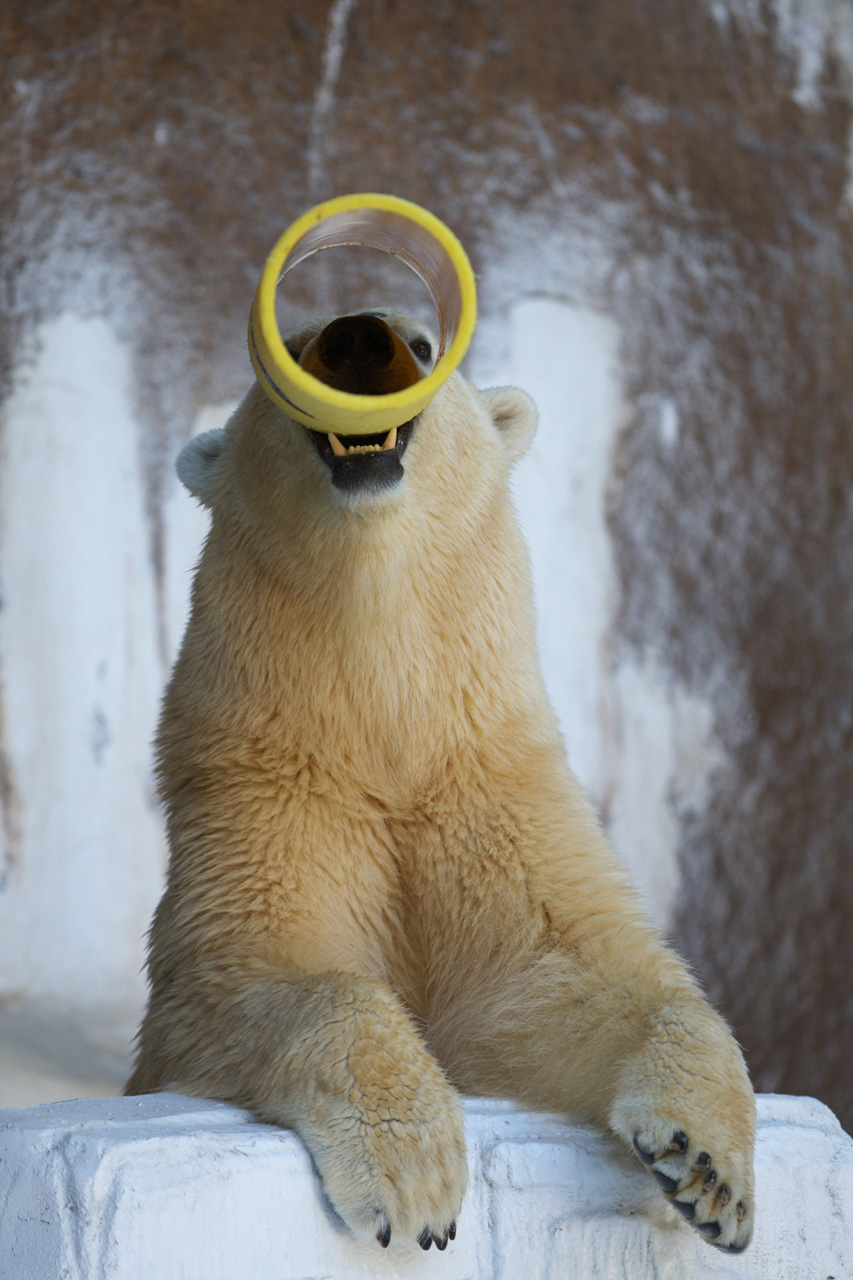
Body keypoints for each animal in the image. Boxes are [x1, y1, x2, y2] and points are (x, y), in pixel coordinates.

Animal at [126, 307, 753, 1249]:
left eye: (422, 345)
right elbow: (250, 973)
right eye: (289, 354)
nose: (356, 339)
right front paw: (413, 1178)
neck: (388, 735)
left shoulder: (490, 792)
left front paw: (707, 1171)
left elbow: (569, 978)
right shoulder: (269, 796)